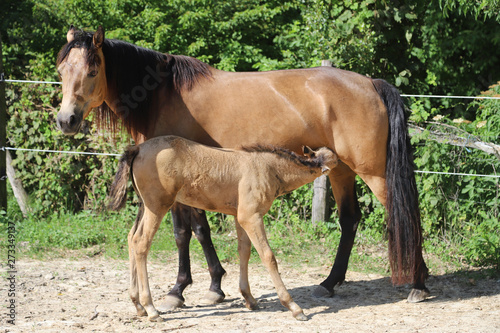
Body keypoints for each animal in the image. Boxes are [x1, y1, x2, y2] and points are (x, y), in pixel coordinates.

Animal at [108, 135, 338, 322]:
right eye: (336, 160)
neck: (268, 168)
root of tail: (137, 149)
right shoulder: (251, 217)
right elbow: (268, 256)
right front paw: (294, 307)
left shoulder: (240, 217)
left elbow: (244, 252)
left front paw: (249, 299)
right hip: (157, 206)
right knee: (141, 243)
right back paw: (151, 309)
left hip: (144, 205)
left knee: (131, 238)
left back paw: (137, 305)